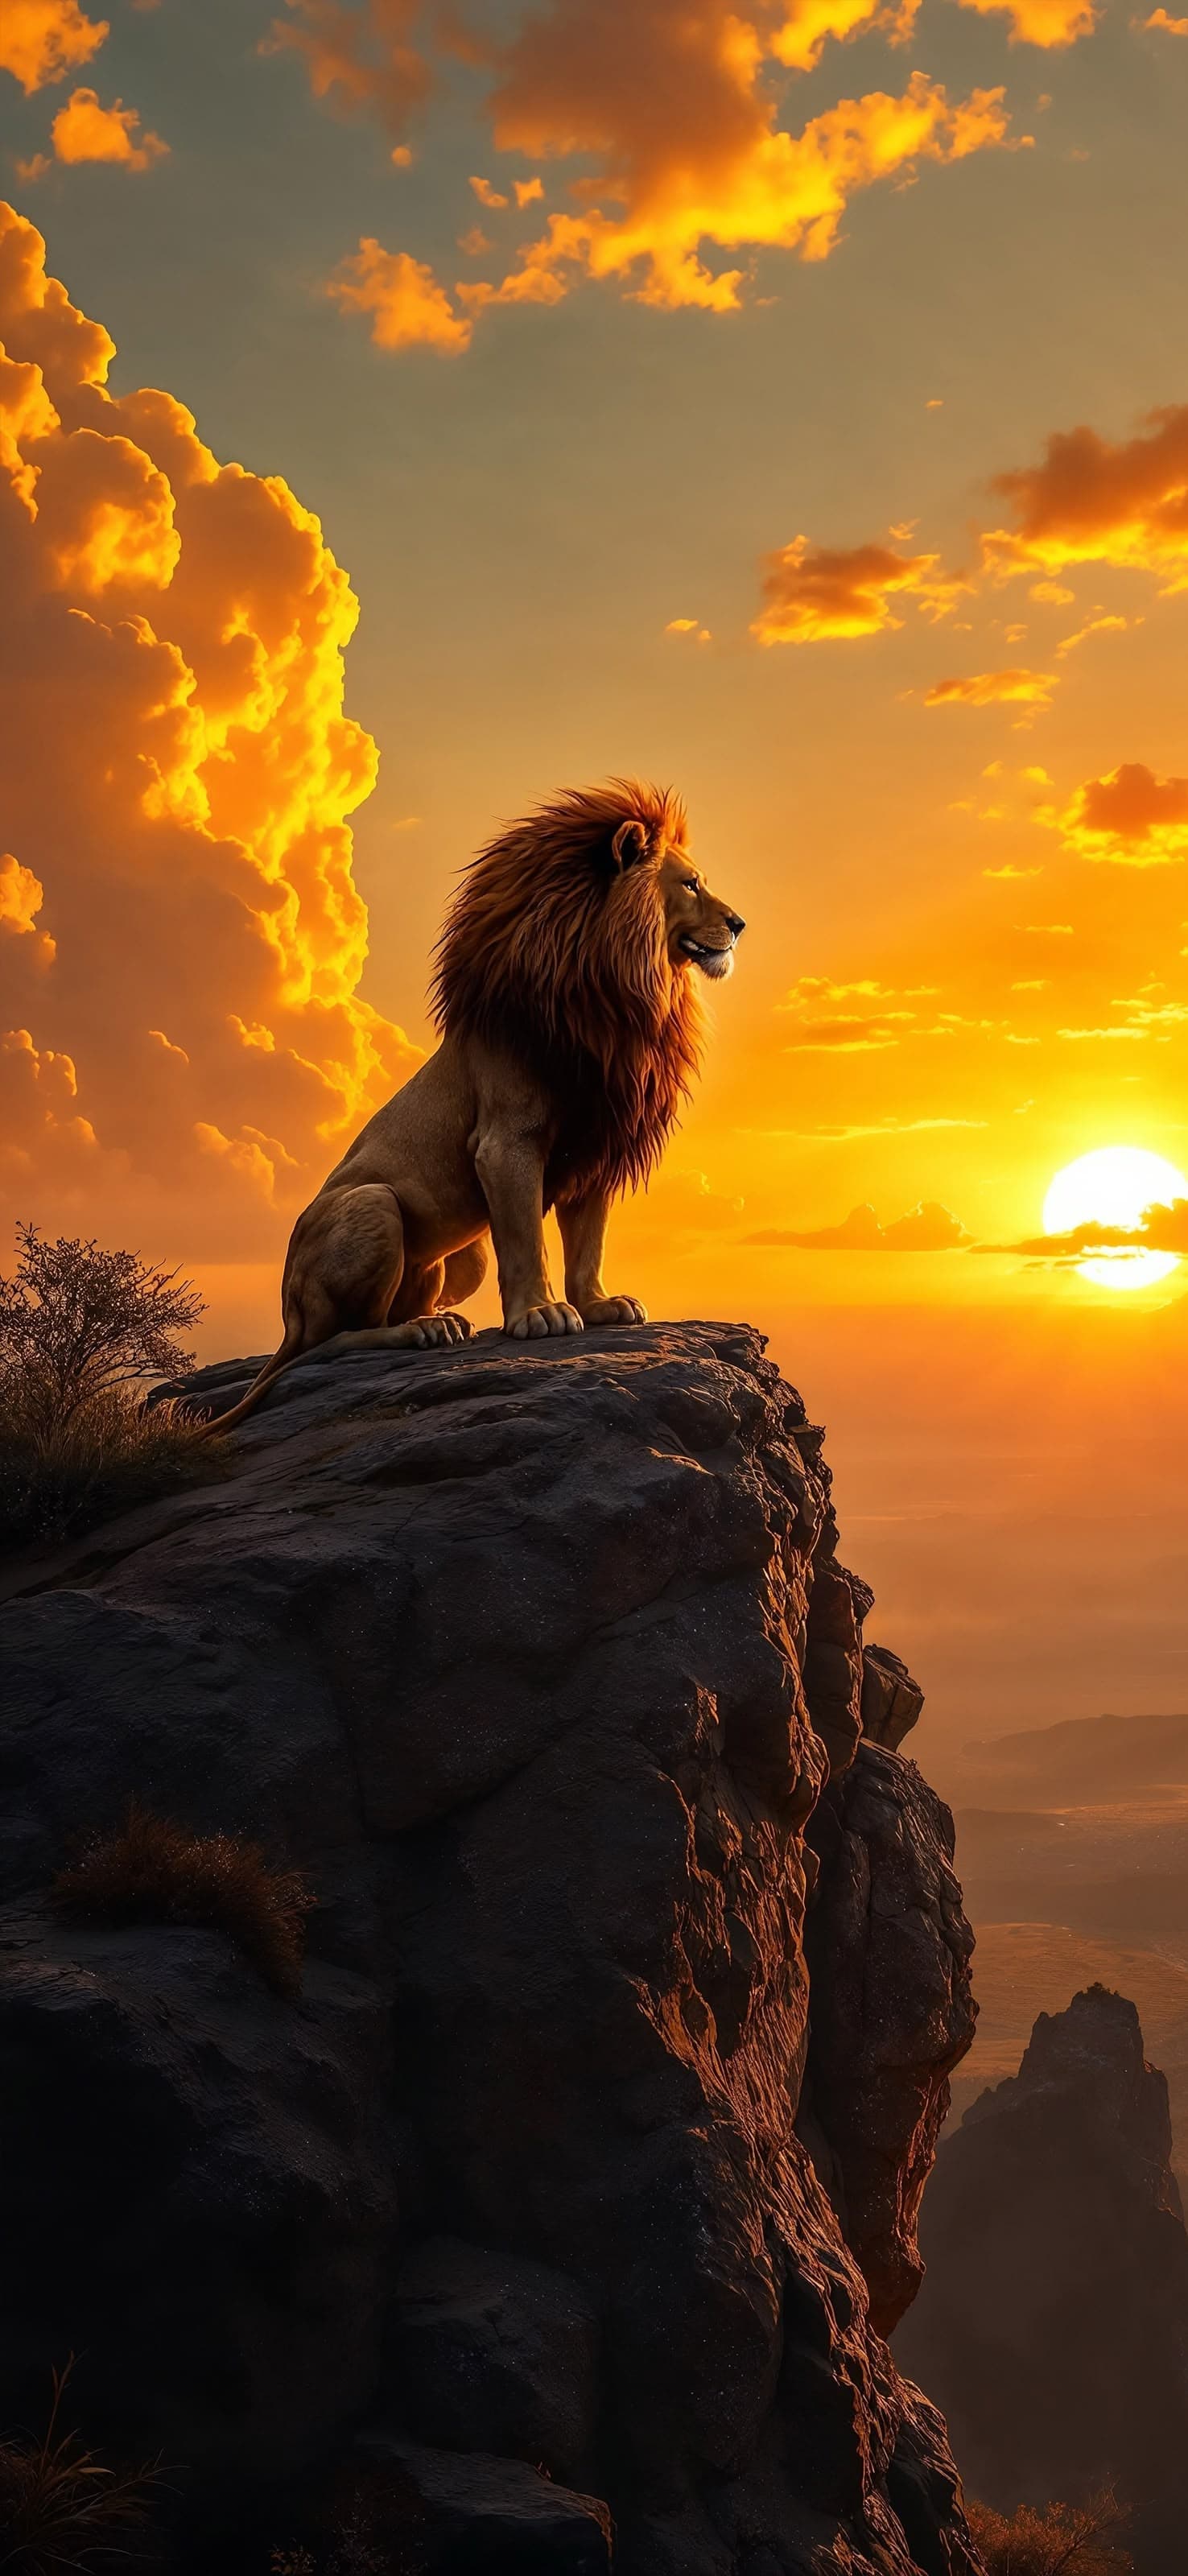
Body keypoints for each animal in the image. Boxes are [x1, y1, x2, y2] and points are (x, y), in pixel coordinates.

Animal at [198, 778, 745, 1433]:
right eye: (689, 884)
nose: (740, 923)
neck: (621, 991)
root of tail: (286, 1315)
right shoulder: (506, 1141)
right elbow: (526, 1240)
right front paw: (540, 1315)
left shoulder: (597, 1144)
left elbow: (587, 1243)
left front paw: (599, 1304)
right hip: (373, 1206)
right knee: (337, 1340)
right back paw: (419, 1332)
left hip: (463, 1259)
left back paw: (442, 1320)